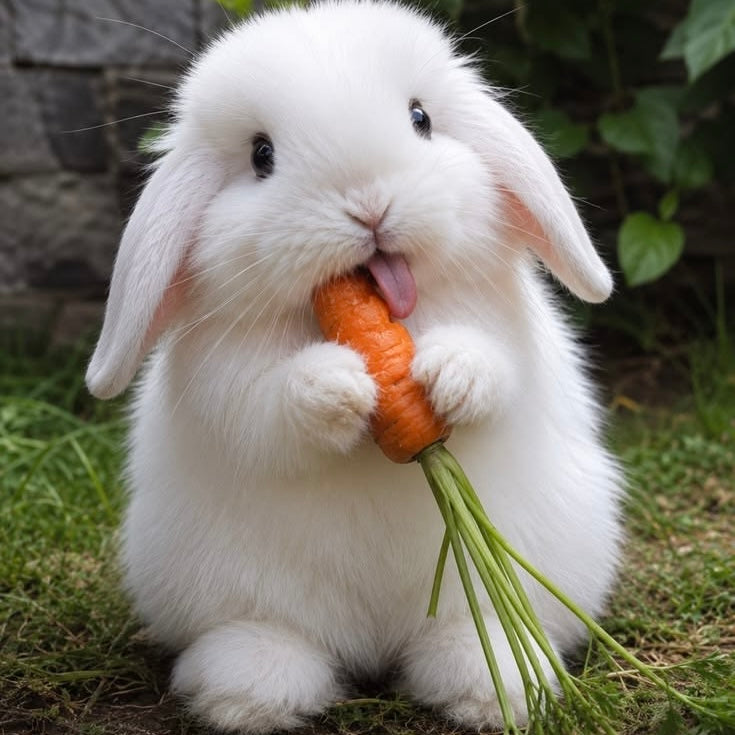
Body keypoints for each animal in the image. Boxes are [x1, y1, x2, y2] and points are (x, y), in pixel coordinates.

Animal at [86, 1, 624, 732]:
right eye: (261, 155)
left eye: (420, 118)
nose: (368, 204)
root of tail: (374, 647)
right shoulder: (228, 383)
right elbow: (267, 409)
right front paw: (339, 385)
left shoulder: (507, 335)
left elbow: (494, 365)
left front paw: (446, 373)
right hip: (236, 585)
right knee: (269, 633)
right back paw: (247, 693)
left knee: (483, 620)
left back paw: (496, 687)